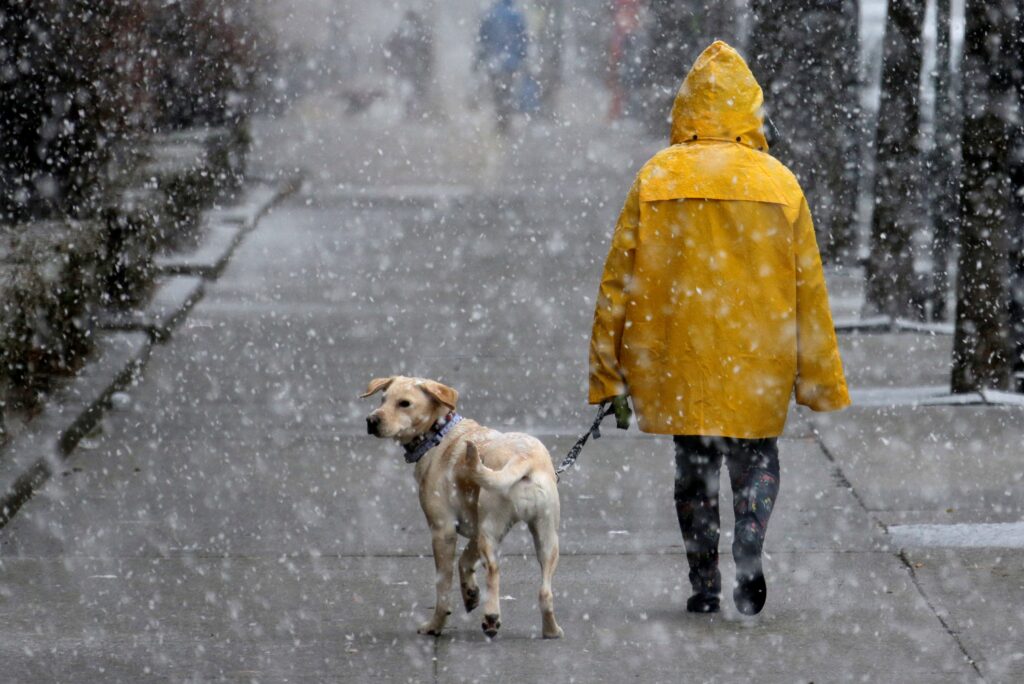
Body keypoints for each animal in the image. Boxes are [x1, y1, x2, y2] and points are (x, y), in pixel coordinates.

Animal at [362, 374, 561, 643]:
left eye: (404, 403)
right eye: (383, 399)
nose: (371, 421)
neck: (439, 434)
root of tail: (524, 457)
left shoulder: (442, 530)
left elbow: (443, 587)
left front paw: (435, 625)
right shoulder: (475, 531)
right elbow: (465, 562)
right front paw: (470, 593)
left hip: (491, 532)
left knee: (494, 571)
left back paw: (491, 617)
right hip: (546, 538)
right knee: (545, 592)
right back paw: (551, 630)